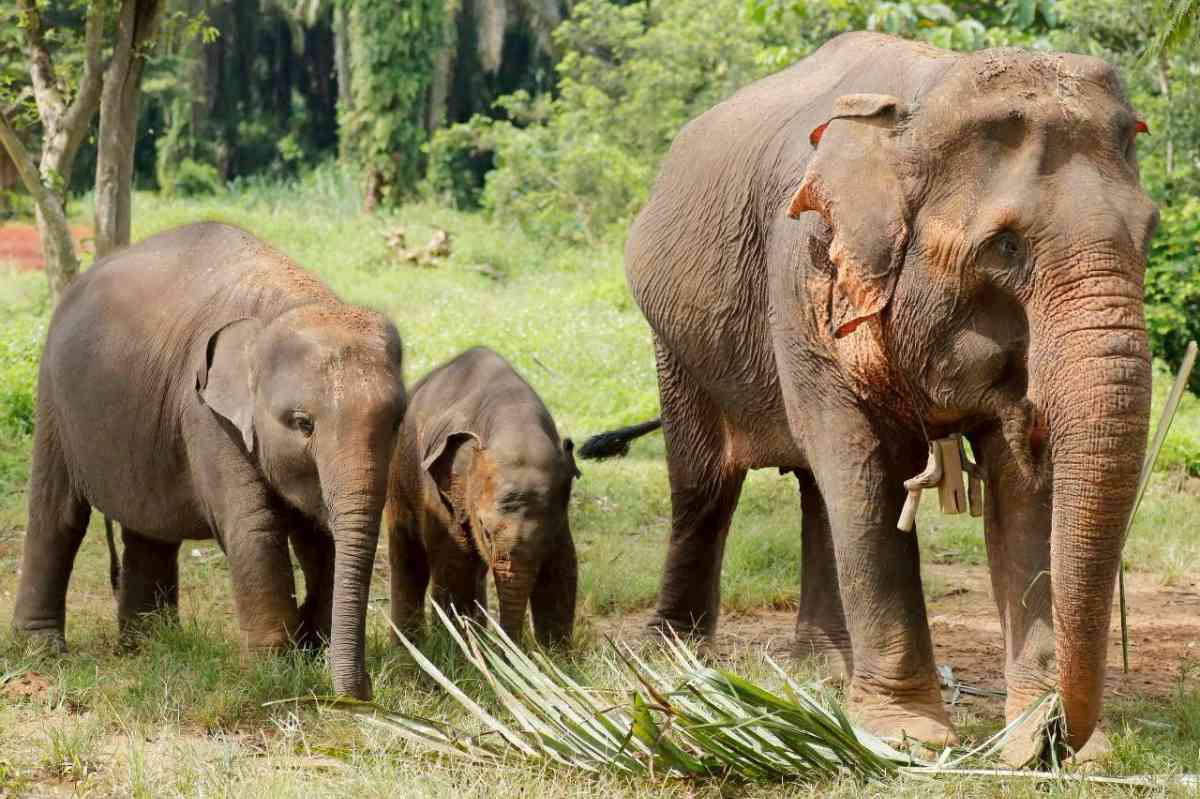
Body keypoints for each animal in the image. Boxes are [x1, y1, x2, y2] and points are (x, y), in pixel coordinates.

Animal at [12, 222, 407, 700]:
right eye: (303, 423)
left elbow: (318, 536)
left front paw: (313, 649)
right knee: (59, 515)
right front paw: (274, 672)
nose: (361, 692)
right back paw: (44, 652)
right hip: (53, 398)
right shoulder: (208, 416)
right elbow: (256, 528)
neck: (284, 306)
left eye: (397, 421)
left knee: (150, 528)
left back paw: (150, 644)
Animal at [385, 347, 579, 647]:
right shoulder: (445, 498)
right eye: (486, 532)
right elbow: (455, 565)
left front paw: (555, 657)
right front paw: (463, 654)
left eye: (546, 533)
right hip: (399, 476)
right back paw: (407, 647)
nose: (514, 648)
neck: (514, 419)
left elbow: (561, 567)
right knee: (410, 556)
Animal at [578, 32, 1157, 760]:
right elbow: (868, 473)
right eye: (1005, 246)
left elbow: (1022, 492)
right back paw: (672, 654)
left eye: (1150, 234)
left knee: (817, 489)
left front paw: (1041, 739)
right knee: (706, 483)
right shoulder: (805, 272)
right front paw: (908, 735)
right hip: (676, 340)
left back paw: (824, 670)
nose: (1062, 735)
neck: (925, 98)